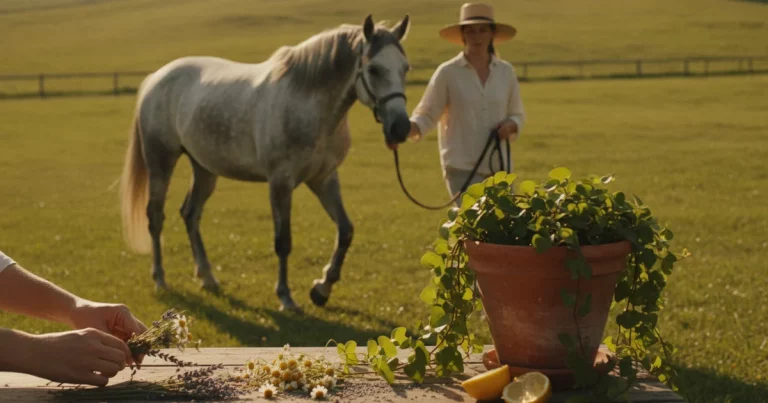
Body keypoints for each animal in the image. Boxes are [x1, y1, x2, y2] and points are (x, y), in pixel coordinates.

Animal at [119, 15, 412, 312]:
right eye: (374, 69)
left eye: (405, 68)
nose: (401, 128)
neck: (307, 103)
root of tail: (156, 78)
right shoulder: (280, 182)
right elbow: (283, 241)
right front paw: (285, 297)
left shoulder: (323, 179)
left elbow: (346, 231)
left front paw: (322, 288)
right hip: (161, 162)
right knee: (156, 217)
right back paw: (160, 280)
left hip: (204, 169)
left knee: (190, 214)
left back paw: (208, 278)